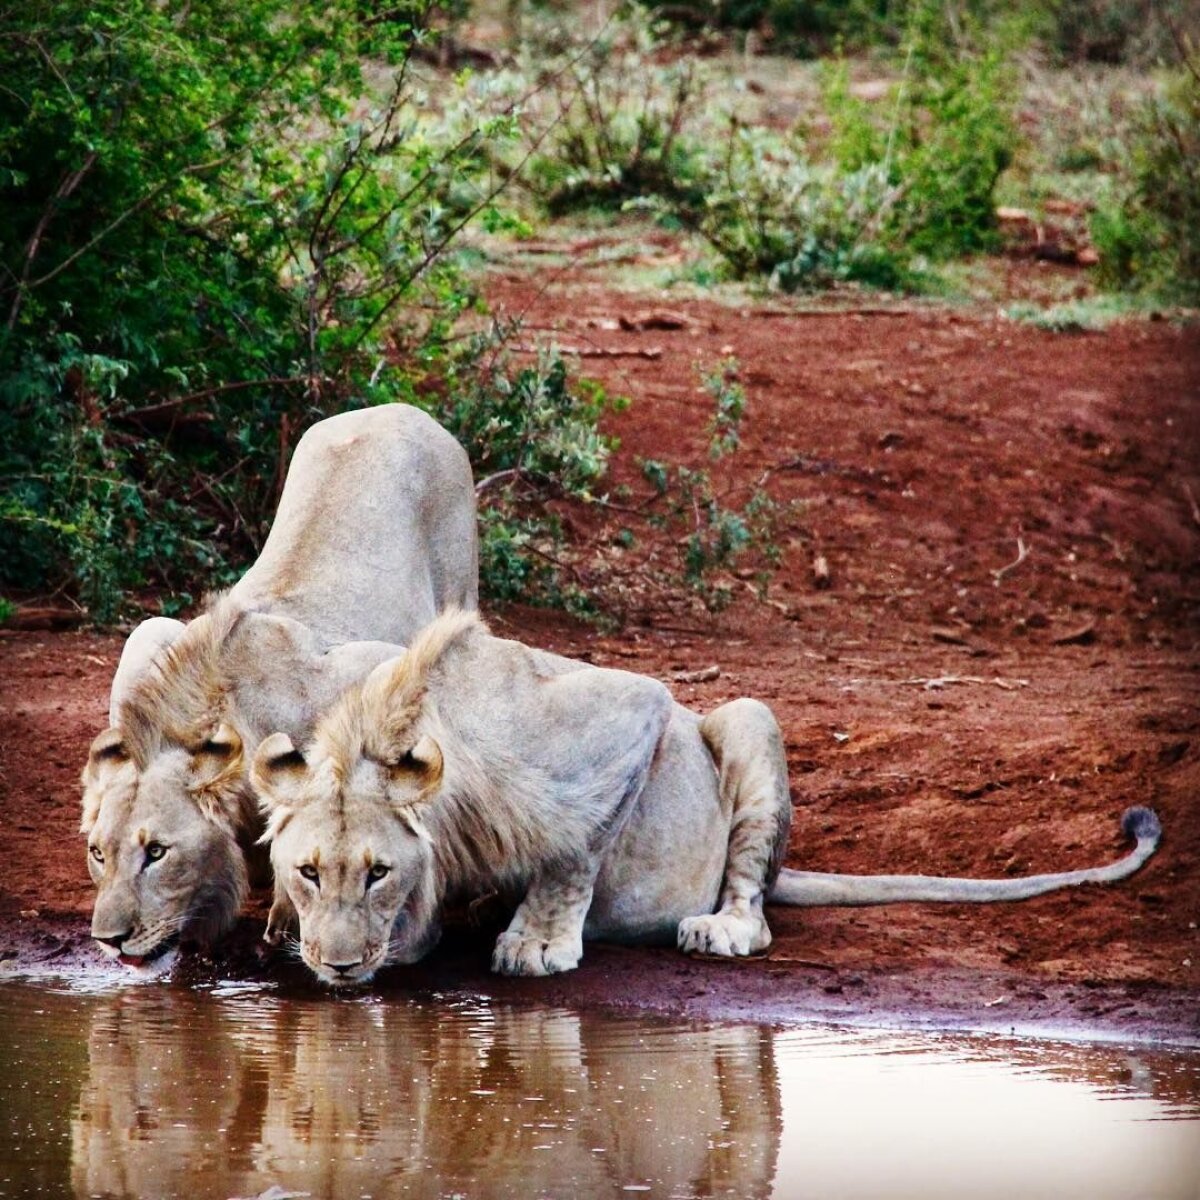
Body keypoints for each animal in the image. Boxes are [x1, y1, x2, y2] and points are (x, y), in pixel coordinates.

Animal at [76, 408, 482, 969]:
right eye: (98, 853)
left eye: (156, 852)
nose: (109, 941)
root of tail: (401, 409)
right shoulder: (147, 636)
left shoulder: (366, 668)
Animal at [248, 609, 1156, 984]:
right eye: (307, 872)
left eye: (376, 872)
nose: (335, 965)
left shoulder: (630, 708)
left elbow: (575, 848)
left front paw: (536, 943)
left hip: (748, 720)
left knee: (753, 901)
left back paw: (716, 928)